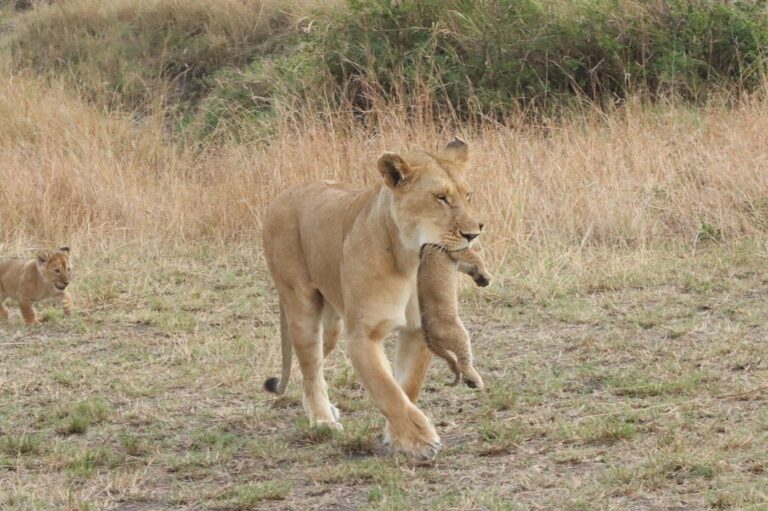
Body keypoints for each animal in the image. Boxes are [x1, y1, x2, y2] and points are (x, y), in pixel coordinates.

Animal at [418, 244, 491, 390]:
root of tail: (427, 334)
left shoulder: (456, 260)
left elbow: (467, 265)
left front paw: (481, 278)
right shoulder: (455, 251)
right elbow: (476, 257)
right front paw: (486, 275)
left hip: (442, 350)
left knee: (453, 364)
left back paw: (469, 382)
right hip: (459, 336)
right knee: (462, 363)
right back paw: (478, 383)